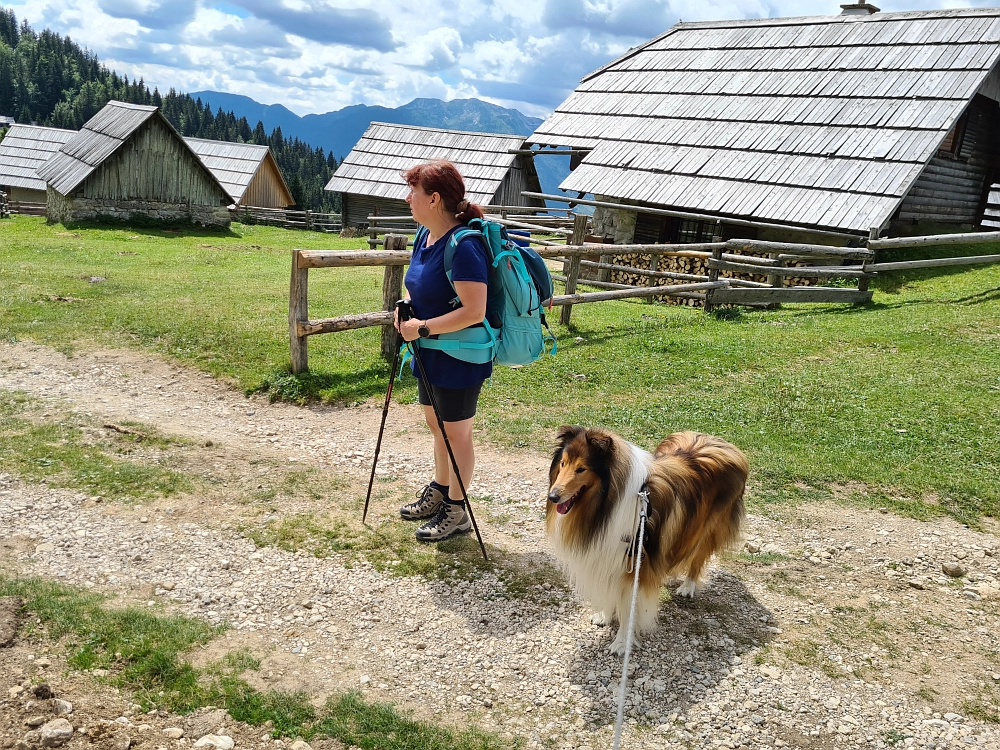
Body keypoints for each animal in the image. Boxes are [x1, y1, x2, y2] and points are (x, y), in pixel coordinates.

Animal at [548, 426, 752, 656]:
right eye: (563, 463)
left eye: (581, 469)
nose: (552, 497)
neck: (606, 505)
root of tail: (723, 443)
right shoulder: (609, 555)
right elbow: (611, 592)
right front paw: (605, 615)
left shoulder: (634, 565)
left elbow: (628, 608)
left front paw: (622, 642)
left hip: (706, 530)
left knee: (697, 558)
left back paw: (687, 586)